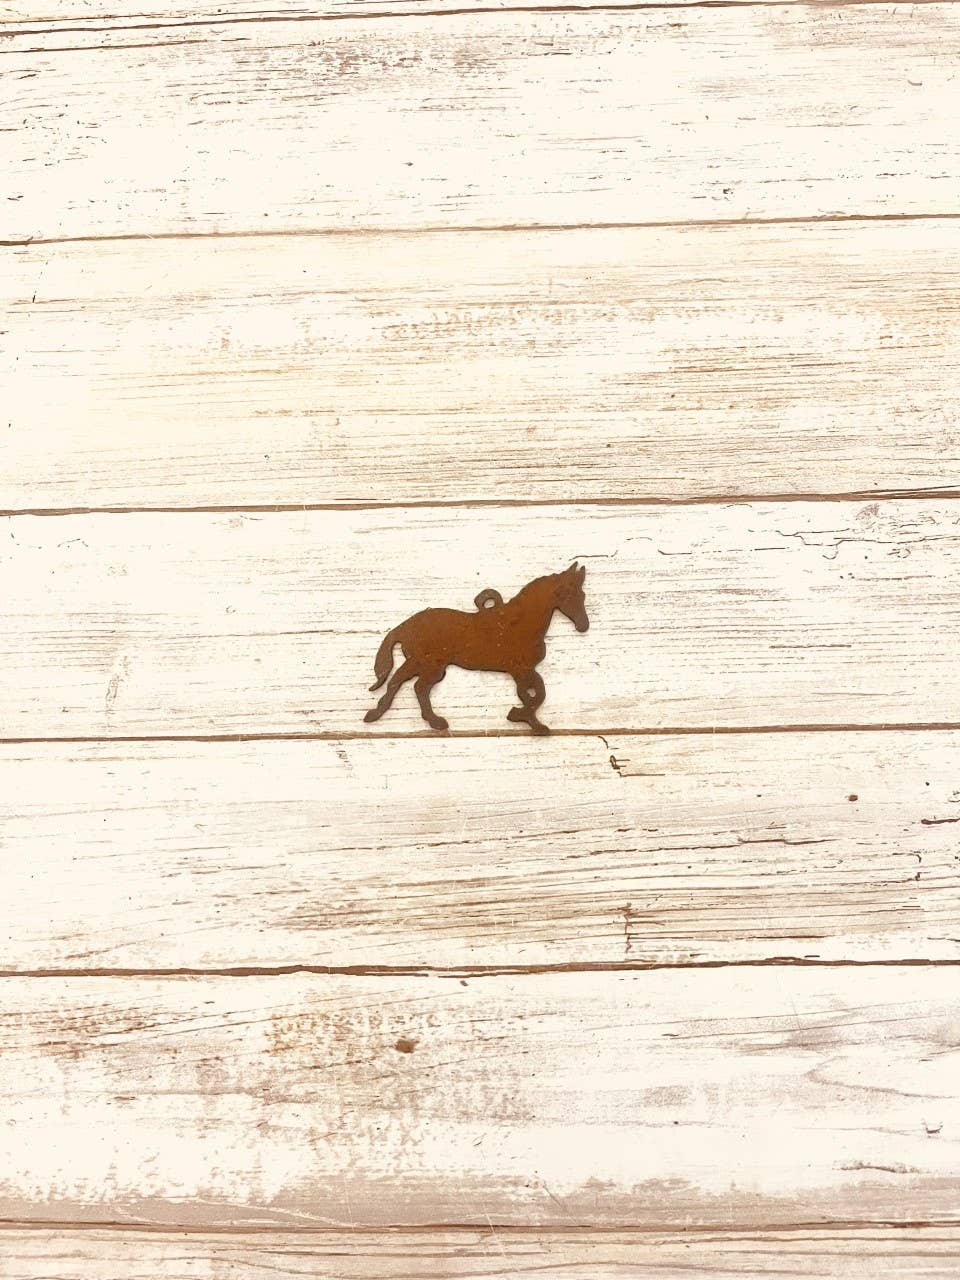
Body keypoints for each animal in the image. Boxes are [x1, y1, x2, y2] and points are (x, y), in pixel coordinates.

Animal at [363, 563, 589, 734]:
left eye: (583, 595)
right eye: (566, 594)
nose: (583, 626)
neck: (519, 622)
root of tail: (406, 625)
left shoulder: (523, 670)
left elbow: (534, 694)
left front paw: (525, 719)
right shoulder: (520, 669)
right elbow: (535, 695)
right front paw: (526, 719)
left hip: (424, 664)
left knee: (407, 683)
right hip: (427, 664)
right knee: (408, 684)